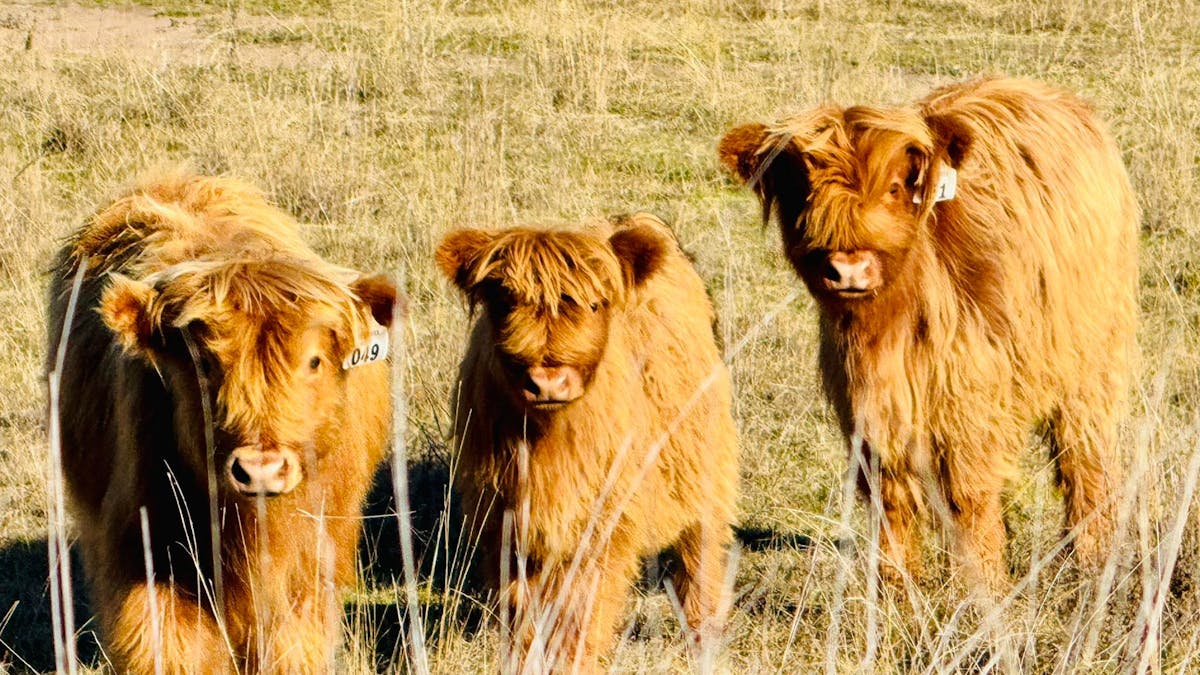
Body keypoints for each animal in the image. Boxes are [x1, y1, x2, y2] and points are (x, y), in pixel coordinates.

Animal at [435, 214, 739, 671]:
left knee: (700, 553)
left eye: (595, 304)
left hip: (703, 467)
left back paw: (703, 638)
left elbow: (582, 611)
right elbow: (522, 614)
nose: (547, 381)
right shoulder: (504, 523)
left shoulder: (604, 523)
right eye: (505, 304)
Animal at [718, 77, 1138, 589]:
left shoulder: (969, 398)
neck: (889, 329)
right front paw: (895, 587)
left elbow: (968, 495)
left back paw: (1093, 559)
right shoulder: (867, 406)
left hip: (1090, 360)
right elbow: (889, 495)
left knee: (1084, 457)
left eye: (896, 187)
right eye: (802, 192)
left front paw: (983, 587)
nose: (848, 269)